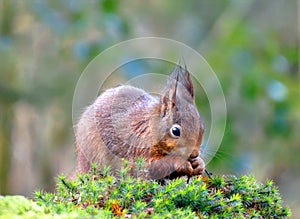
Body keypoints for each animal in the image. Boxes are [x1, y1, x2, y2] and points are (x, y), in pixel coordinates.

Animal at [75, 65, 206, 180]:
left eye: (202, 129)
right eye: (175, 131)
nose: (194, 154)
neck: (150, 128)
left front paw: (200, 164)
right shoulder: (139, 149)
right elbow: (150, 166)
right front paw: (180, 162)